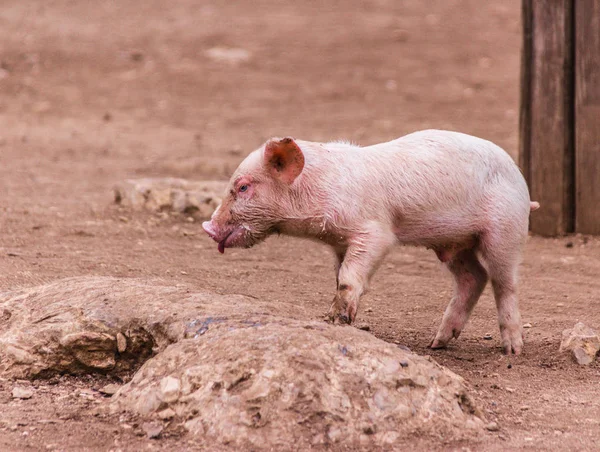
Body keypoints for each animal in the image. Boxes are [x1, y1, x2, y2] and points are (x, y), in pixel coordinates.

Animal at [204, 129, 540, 354]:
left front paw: (338, 319)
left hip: (505, 229)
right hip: (454, 242)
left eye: (243, 187)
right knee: (474, 277)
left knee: (504, 282)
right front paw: (336, 318)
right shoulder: (339, 242)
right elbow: (339, 275)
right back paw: (436, 344)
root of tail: (520, 178)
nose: (208, 226)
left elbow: (351, 275)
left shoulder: (375, 232)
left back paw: (512, 350)